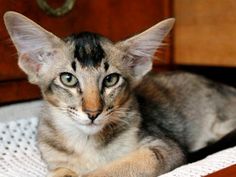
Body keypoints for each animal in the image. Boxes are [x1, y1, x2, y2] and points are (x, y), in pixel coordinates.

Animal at [3, 11, 236, 177]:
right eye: (68, 79)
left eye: (110, 80)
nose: (93, 112)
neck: (87, 143)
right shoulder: (55, 162)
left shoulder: (165, 148)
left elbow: (111, 170)